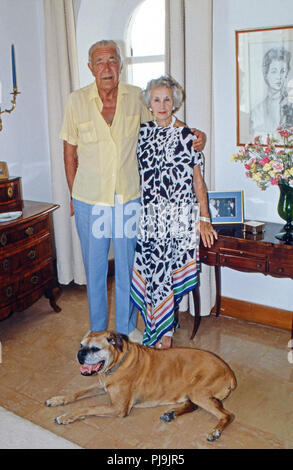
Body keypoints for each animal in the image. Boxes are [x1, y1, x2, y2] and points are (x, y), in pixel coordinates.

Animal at [46, 330, 237, 440]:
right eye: (81, 345)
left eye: (94, 349)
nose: (79, 354)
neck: (118, 363)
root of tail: (228, 371)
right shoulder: (101, 386)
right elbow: (76, 393)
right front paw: (57, 400)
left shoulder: (118, 407)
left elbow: (87, 408)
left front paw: (66, 416)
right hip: (193, 392)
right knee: (193, 406)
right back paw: (171, 414)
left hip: (198, 391)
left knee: (227, 415)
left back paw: (215, 431)